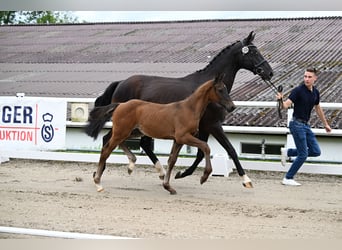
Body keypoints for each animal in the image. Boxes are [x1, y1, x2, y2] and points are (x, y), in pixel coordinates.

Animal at [93, 30, 272, 188]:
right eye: (253, 52)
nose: (269, 72)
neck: (207, 91)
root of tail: (120, 83)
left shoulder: (203, 128)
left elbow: (201, 153)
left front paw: (182, 174)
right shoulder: (213, 125)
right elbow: (230, 150)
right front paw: (246, 180)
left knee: (135, 143)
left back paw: (155, 171)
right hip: (127, 125)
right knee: (110, 140)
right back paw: (104, 171)